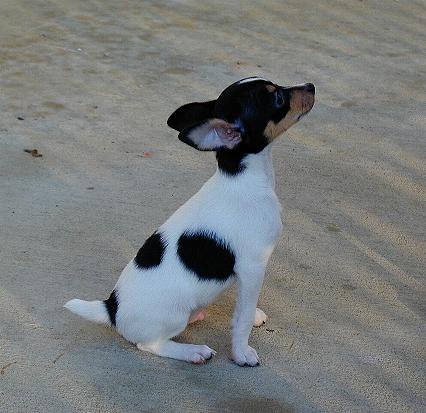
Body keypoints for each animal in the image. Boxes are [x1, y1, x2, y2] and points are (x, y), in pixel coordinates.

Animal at [65, 75, 314, 366]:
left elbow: (243, 304)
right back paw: (192, 351)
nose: (311, 86)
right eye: (277, 98)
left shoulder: (246, 272)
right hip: (173, 318)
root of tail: (111, 309)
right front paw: (241, 352)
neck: (242, 178)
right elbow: (241, 317)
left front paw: (252, 316)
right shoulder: (252, 266)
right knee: (150, 345)